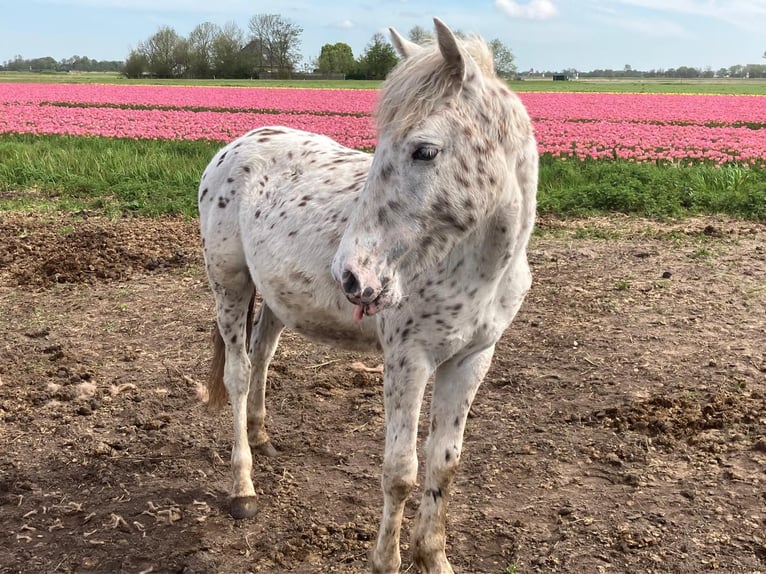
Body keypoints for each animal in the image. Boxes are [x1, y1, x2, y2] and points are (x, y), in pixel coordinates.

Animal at [198, 16, 540, 574]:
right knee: (239, 373)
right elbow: (400, 471)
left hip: (275, 298)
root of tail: (235, 146)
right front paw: (387, 560)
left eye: (425, 150)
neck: (478, 266)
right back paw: (243, 487)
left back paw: (263, 436)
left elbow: (444, 466)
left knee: (263, 355)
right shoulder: (408, 360)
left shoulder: (472, 358)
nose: (351, 276)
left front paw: (433, 557)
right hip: (230, 286)